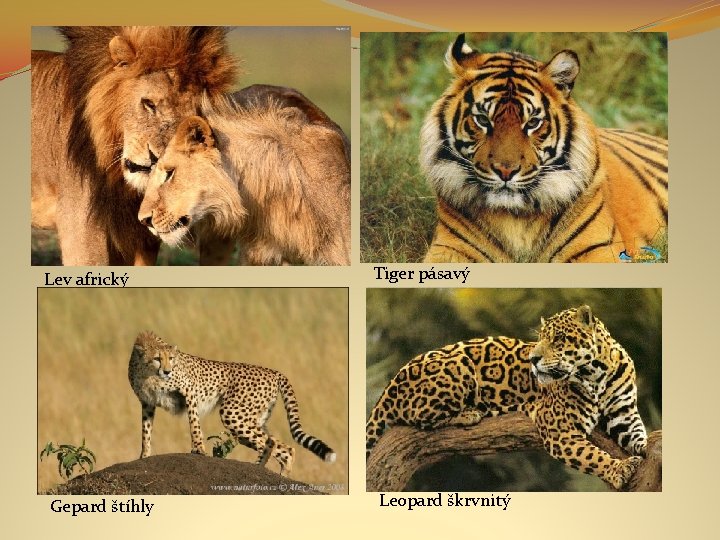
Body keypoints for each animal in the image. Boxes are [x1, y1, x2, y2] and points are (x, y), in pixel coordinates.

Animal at [128, 331, 336, 475]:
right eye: (157, 358)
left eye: (171, 358)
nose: (167, 371)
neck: (148, 374)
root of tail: (274, 372)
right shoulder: (147, 403)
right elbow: (146, 432)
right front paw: (144, 456)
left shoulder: (190, 392)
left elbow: (194, 424)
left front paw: (199, 450)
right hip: (251, 419)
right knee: (274, 443)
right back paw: (266, 471)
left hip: (232, 413)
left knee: (280, 446)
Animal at [366, 305, 648, 490]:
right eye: (539, 339)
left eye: (558, 339)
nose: (533, 359)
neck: (596, 373)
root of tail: (392, 382)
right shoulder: (560, 430)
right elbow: (592, 456)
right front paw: (619, 469)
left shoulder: (623, 414)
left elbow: (638, 436)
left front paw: (645, 450)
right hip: (457, 364)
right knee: (420, 418)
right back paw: (470, 413)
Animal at [420, 34, 668, 263]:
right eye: (482, 119)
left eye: (532, 123)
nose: (505, 171)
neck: (515, 220)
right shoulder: (450, 249)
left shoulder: (598, 250)